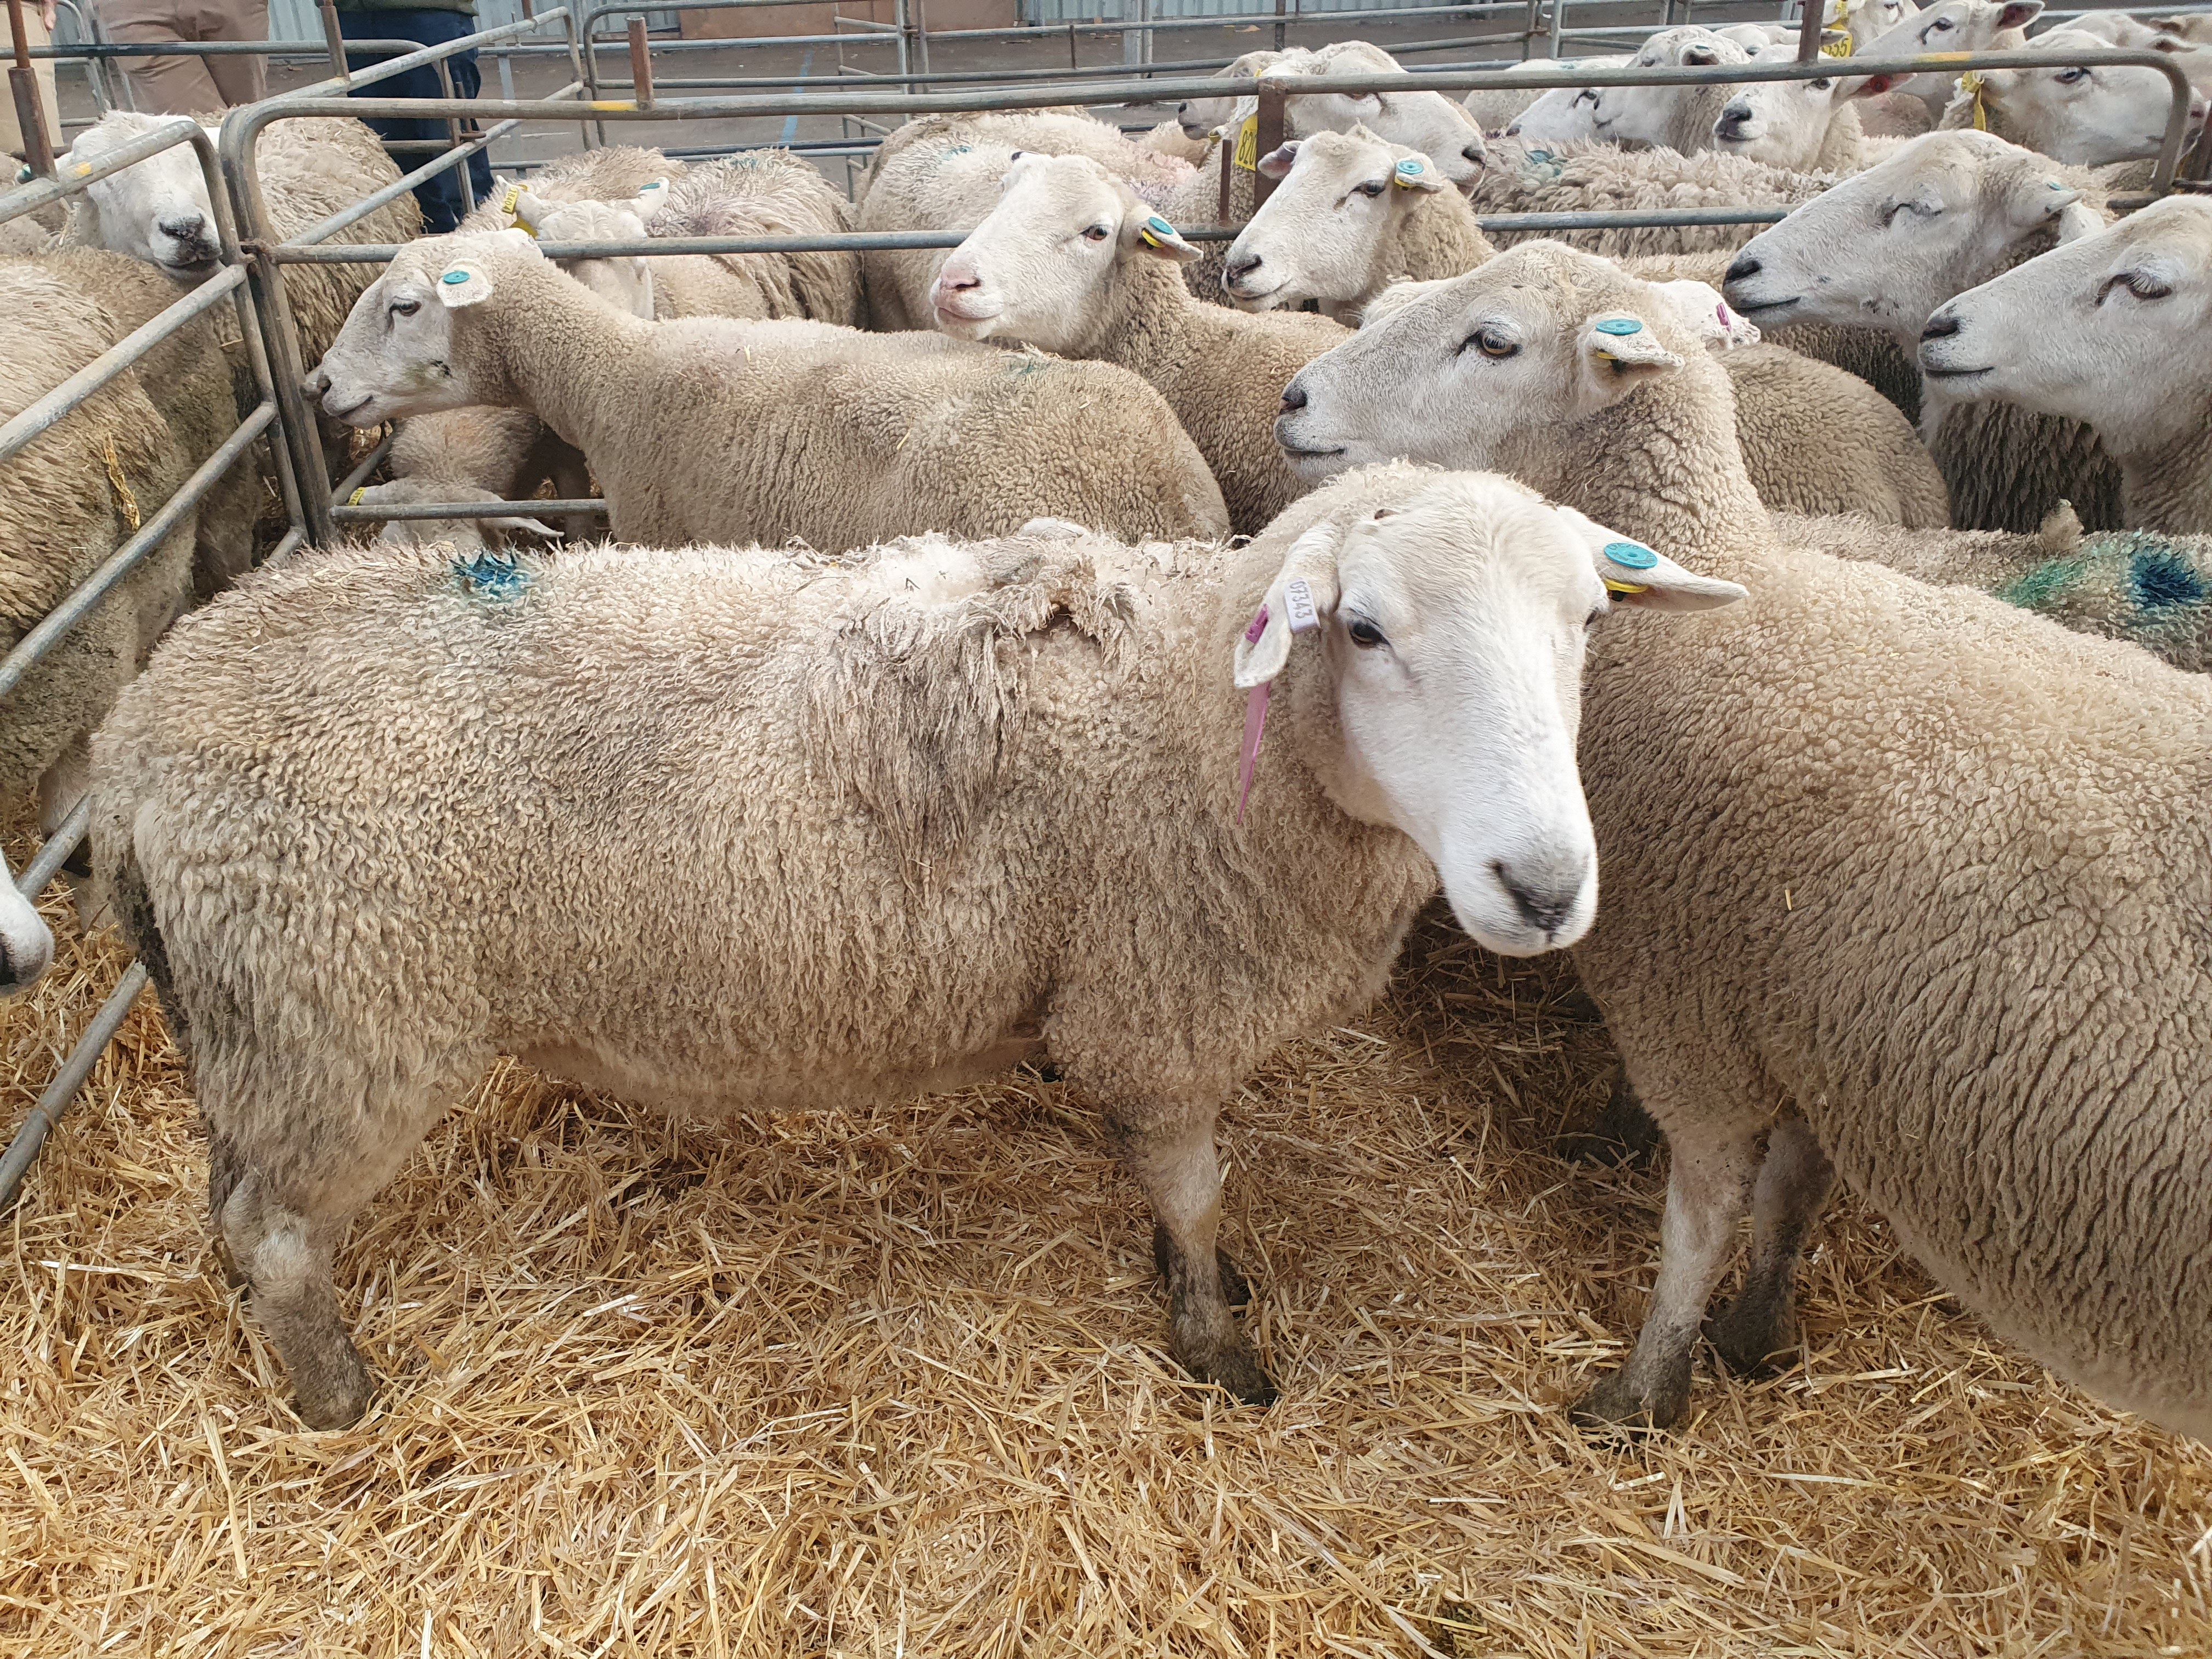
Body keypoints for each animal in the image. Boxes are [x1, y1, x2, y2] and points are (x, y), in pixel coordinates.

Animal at [89, 464, 1743, 1428]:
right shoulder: (1156, 1009)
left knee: (231, 1204)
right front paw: (1215, 1345)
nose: (1546, 885)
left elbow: (1172, 1191)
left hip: (257, 1029)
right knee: (277, 1231)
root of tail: (138, 736)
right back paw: (337, 1396)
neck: (1199, 729)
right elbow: (1196, 1191)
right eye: (1371, 630)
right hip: (341, 1022)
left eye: (1592, 622)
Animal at [1277, 241, 2212, 1437]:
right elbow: (1792, 1191)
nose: (1295, 400)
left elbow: (1706, 1213)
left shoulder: (1692, 1000)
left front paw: (1646, 1385)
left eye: (1492, 341)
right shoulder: (1810, 1013)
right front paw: (1758, 1326)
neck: (1723, 598)